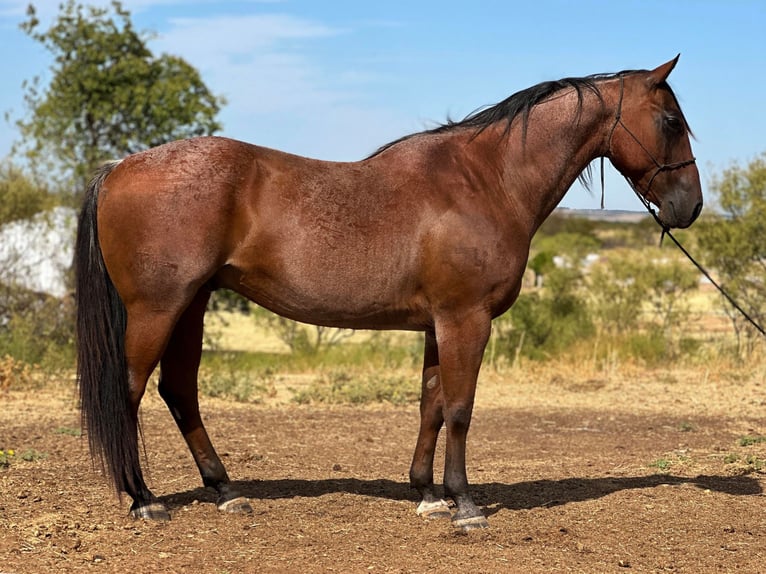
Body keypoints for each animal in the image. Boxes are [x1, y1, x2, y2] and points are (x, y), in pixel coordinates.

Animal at [76, 56, 704, 532]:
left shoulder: (437, 324)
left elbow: (431, 405)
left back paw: (226, 491)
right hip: (158, 308)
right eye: (671, 119)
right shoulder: (466, 319)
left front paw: (427, 495)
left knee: (179, 391)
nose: (690, 207)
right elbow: (460, 408)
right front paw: (465, 504)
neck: (486, 180)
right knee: (129, 391)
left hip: (193, 305)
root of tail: (117, 168)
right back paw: (144, 499)